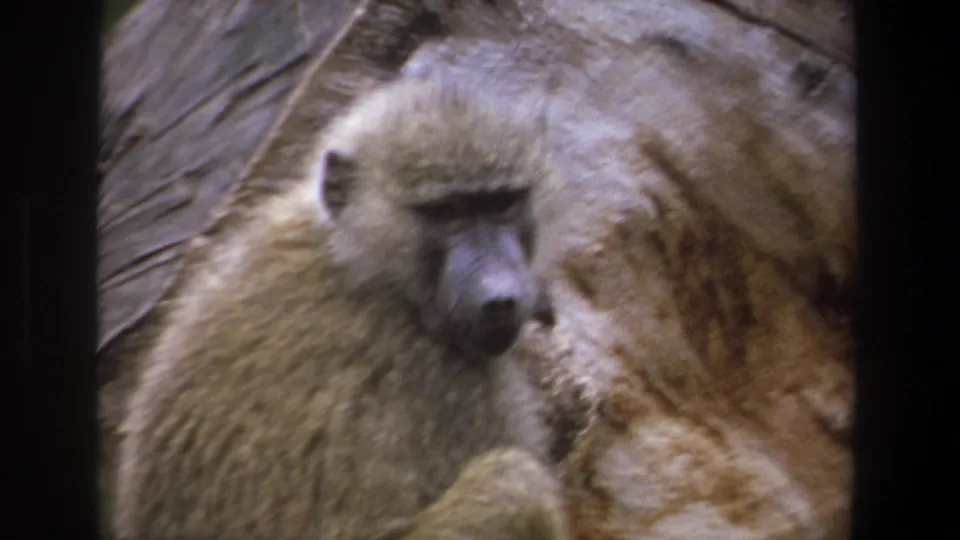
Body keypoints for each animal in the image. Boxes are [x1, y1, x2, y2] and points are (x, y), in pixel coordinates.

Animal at [114, 69, 569, 540]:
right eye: (446, 212)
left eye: (502, 203)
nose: (500, 297)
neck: (367, 262)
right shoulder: (450, 379)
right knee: (516, 487)